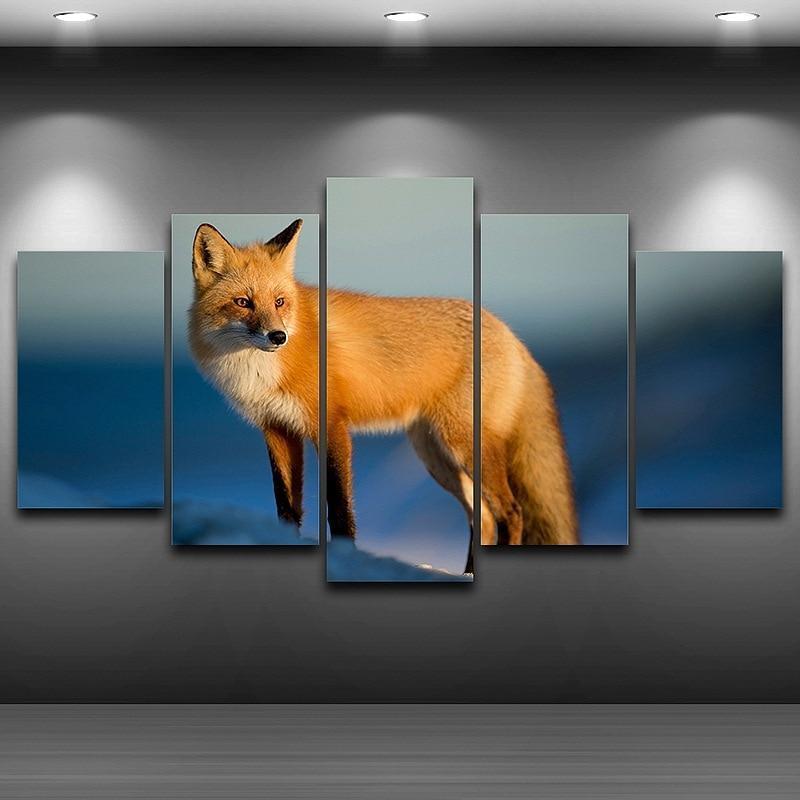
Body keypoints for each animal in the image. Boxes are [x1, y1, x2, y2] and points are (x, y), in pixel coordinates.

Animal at [189, 219, 579, 573]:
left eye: (280, 302)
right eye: (243, 302)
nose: (278, 337)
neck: (259, 369)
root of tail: (511, 333)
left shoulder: (331, 426)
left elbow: (339, 507)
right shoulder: (277, 429)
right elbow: (286, 506)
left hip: (463, 445)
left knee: (510, 512)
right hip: (436, 456)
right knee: (481, 518)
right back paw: (467, 572)